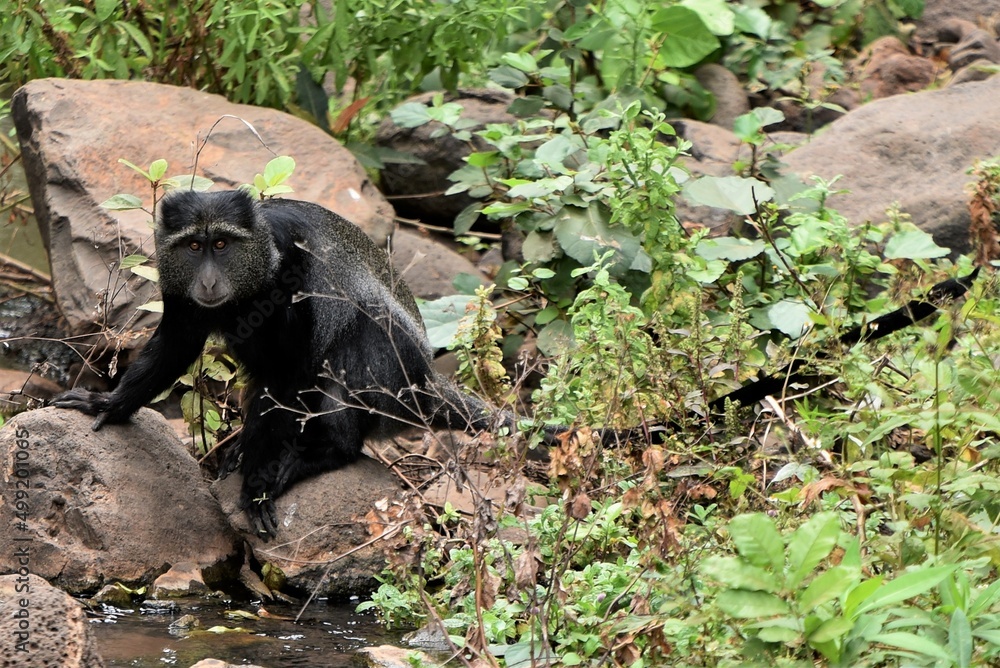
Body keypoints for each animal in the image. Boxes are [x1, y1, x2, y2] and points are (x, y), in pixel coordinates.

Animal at [52, 189, 514, 537]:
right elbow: (176, 345)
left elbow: (294, 369)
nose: (208, 280)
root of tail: (426, 383)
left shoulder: (290, 269)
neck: (258, 262)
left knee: (362, 330)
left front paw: (258, 482)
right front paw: (107, 404)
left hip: (394, 373)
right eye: (194, 246)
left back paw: (325, 452)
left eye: (222, 244)